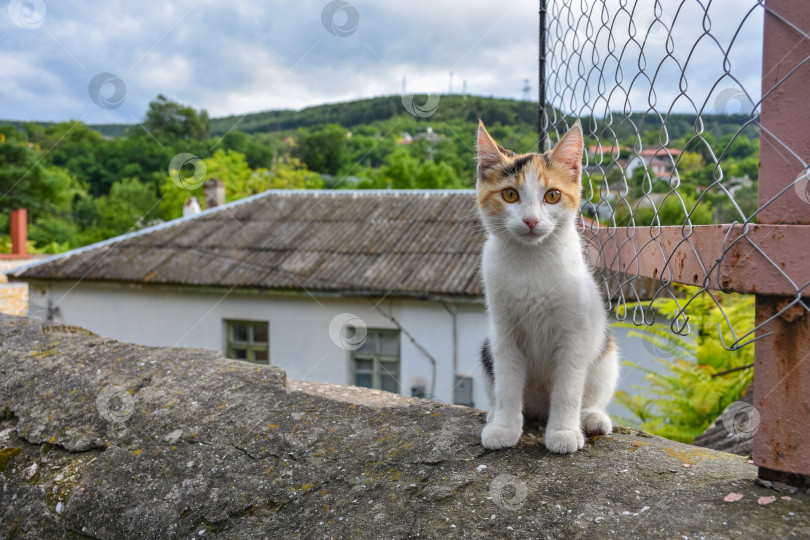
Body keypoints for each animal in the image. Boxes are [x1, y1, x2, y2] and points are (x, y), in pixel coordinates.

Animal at [474, 120, 620, 454]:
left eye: (552, 196)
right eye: (510, 194)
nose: (530, 220)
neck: (532, 260)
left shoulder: (575, 335)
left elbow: (568, 388)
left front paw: (564, 432)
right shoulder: (504, 332)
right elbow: (507, 384)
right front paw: (504, 427)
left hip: (605, 353)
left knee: (591, 392)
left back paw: (591, 418)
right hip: (487, 348)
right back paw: (495, 414)